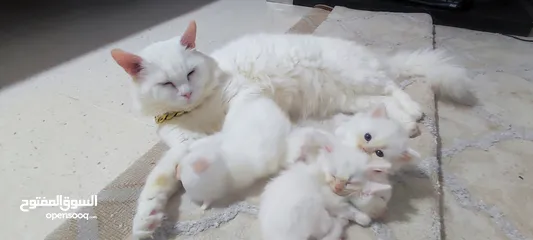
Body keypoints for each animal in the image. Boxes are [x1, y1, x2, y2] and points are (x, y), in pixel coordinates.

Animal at [111, 21, 474, 238]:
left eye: (191, 73)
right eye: (167, 84)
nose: (187, 92)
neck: (199, 111)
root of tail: (370, 55)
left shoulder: (245, 95)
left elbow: (242, 132)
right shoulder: (181, 145)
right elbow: (160, 180)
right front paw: (146, 221)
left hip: (357, 77)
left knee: (392, 86)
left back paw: (413, 114)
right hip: (349, 97)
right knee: (381, 100)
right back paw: (404, 122)